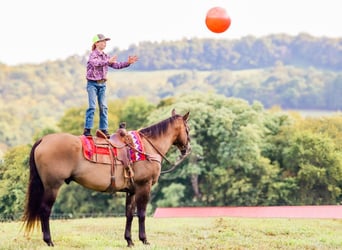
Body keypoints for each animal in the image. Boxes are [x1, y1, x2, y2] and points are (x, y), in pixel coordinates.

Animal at [22, 109, 191, 246]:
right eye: (188, 129)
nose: (187, 149)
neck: (147, 147)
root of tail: (43, 140)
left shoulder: (132, 190)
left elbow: (129, 214)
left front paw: (129, 240)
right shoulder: (144, 186)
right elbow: (142, 213)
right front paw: (144, 239)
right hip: (52, 186)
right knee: (45, 210)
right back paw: (49, 241)